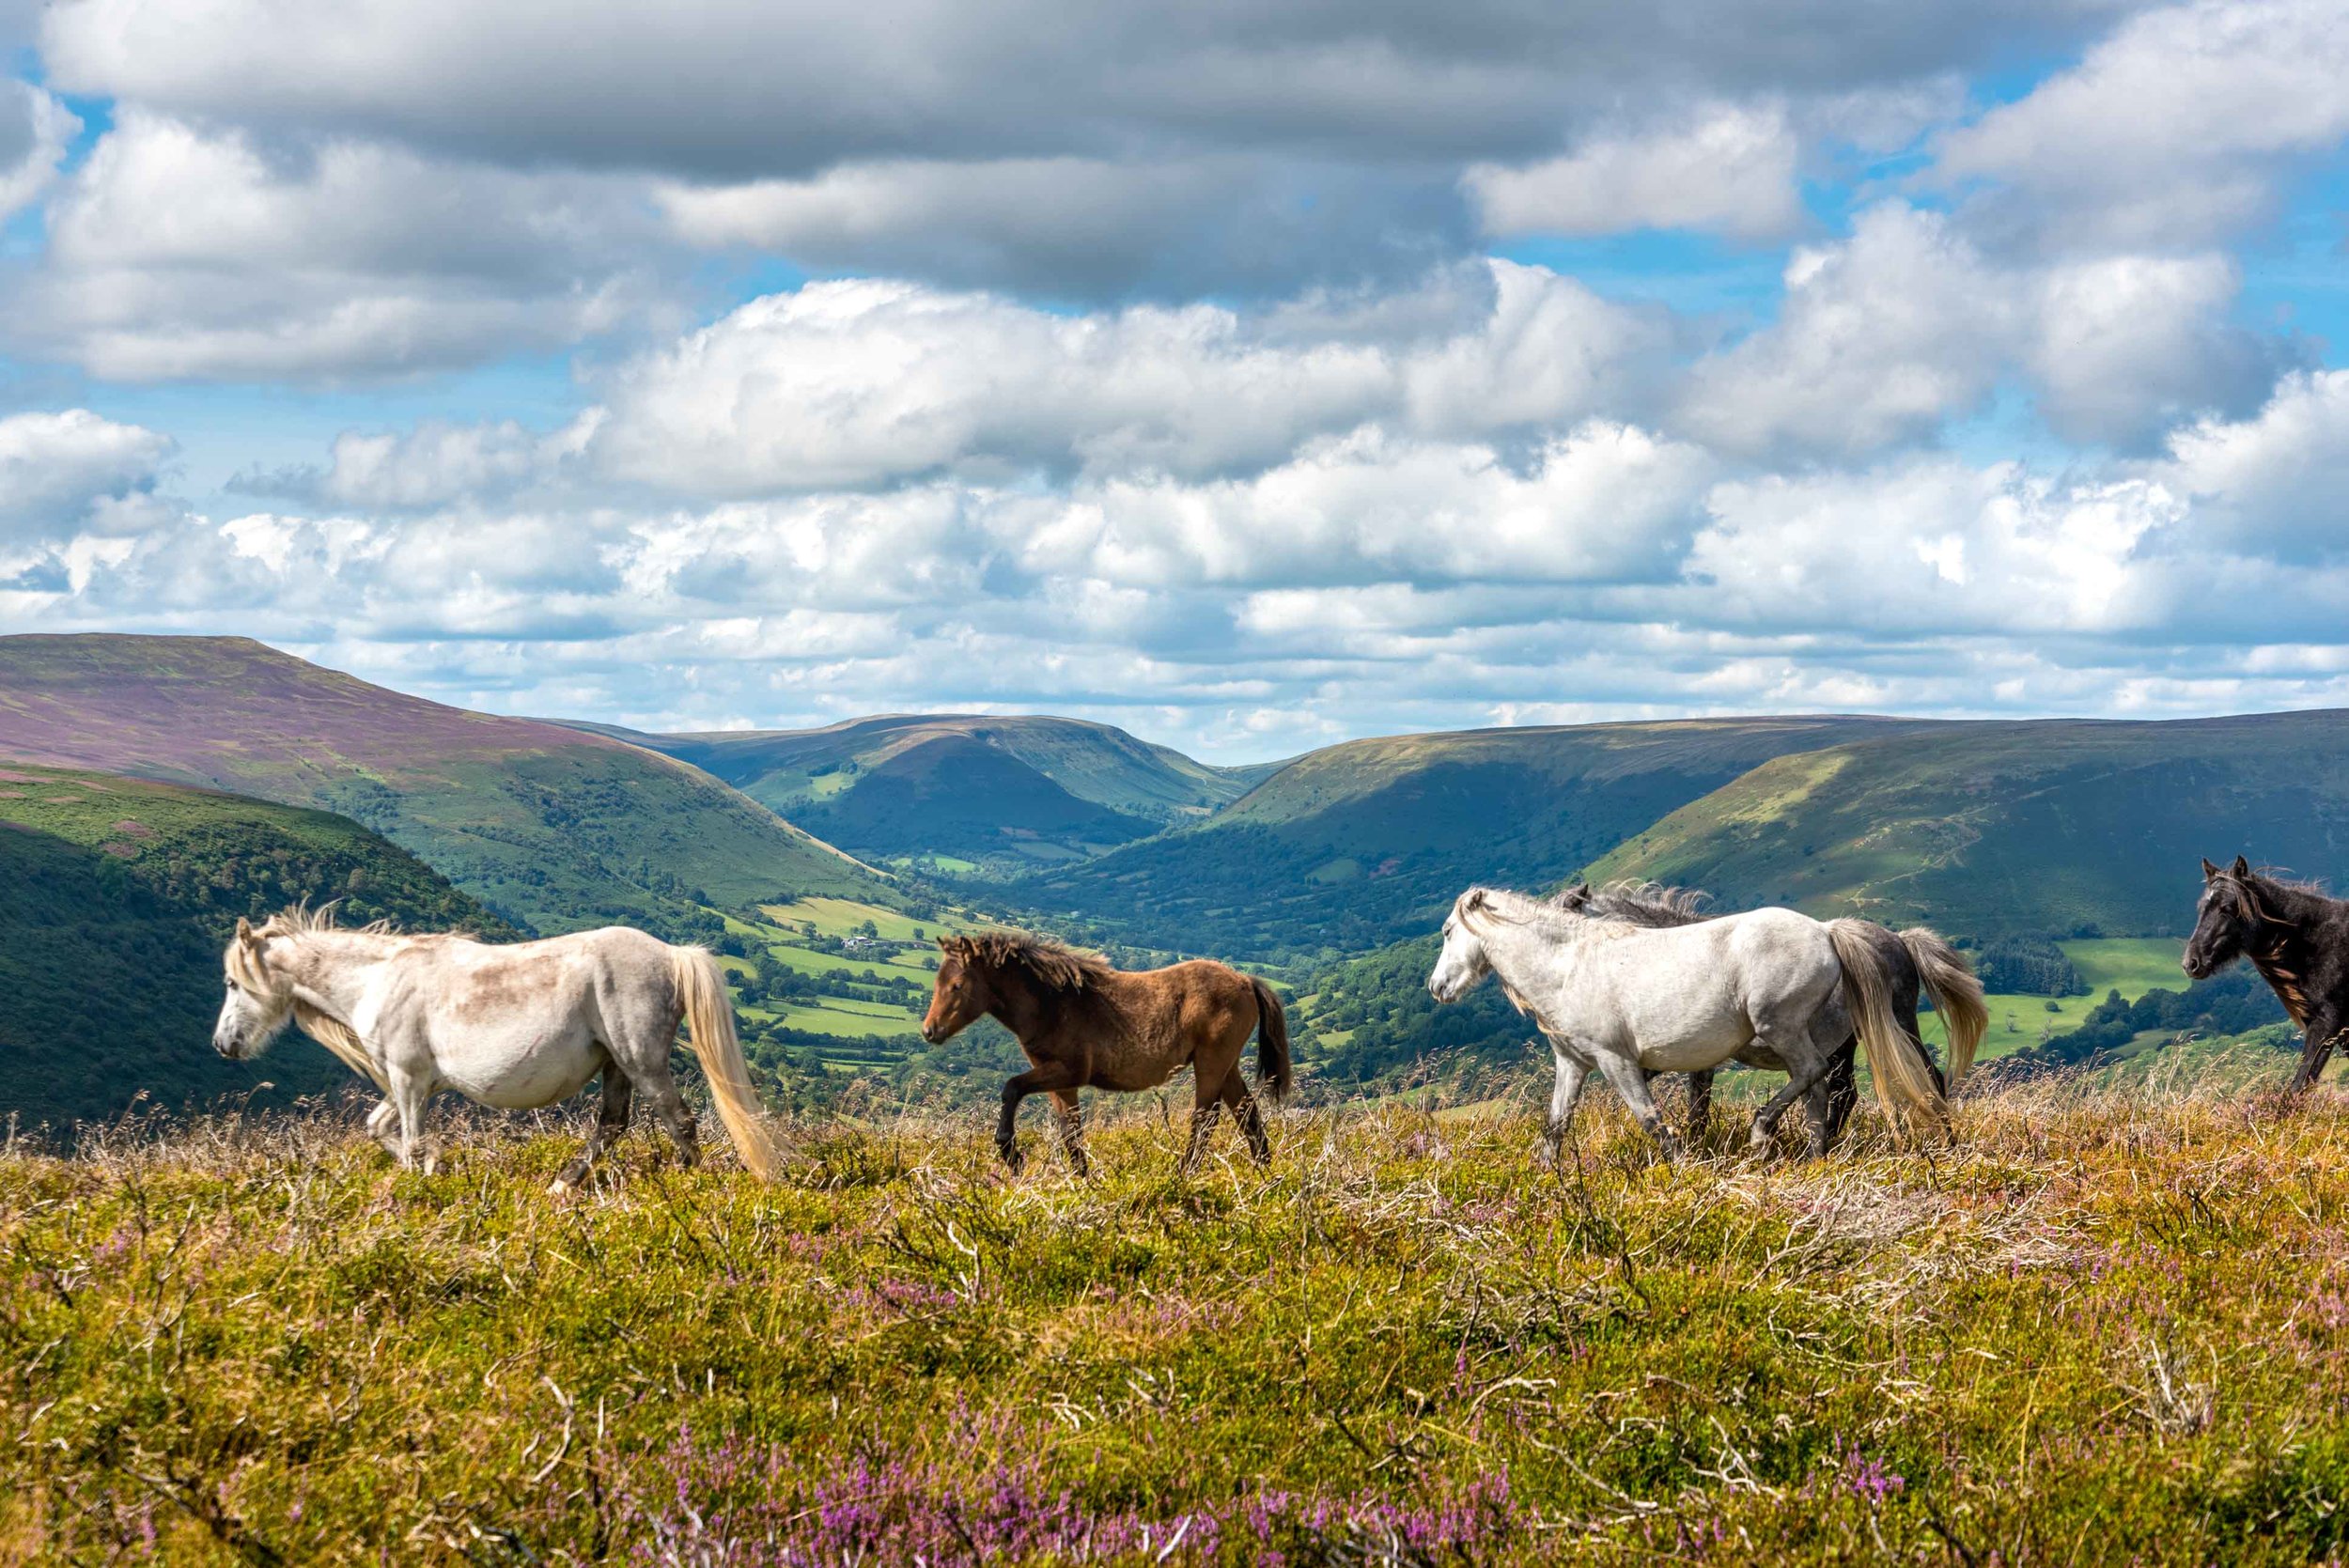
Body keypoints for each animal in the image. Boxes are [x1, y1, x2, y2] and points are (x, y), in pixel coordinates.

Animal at [214, 906, 780, 1188]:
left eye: (232, 983)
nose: (223, 1044)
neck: (379, 979)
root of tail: (670, 954)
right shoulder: (410, 1083)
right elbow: (379, 1129)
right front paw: (434, 1167)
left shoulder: (408, 1079)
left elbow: (410, 1140)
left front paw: (422, 1181)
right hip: (616, 1065)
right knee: (613, 1125)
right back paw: (564, 1184)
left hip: (641, 1061)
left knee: (678, 1119)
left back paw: (687, 1186)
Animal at [916, 929, 1297, 1173]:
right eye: (936, 982)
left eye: (957, 985)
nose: (929, 1031)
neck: (1052, 1003)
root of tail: (1247, 981)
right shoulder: (1060, 1083)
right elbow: (1070, 1132)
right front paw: (1081, 1179)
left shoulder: (1068, 1071)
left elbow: (1011, 1088)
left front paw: (1010, 1151)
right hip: (1226, 1066)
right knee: (1247, 1115)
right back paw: (1264, 1173)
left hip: (1211, 1064)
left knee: (1206, 1120)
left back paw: (1184, 1174)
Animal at [1428, 887, 1945, 1159]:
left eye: (1448, 932)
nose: (1438, 987)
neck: (1569, 967)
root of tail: (1828, 932)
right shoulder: (1573, 1064)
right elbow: (1557, 1124)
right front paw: (1546, 1174)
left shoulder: (1619, 1061)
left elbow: (1651, 1117)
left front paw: (1684, 1162)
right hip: (1817, 1040)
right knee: (1824, 1091)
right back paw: (1814, 1156)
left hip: (1785, 1028)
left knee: (1822, 1077)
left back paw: (1763, 1133)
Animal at [2180, 859, 2349, 1089]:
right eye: (2201, 908)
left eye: (2228, 908)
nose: (2191, 963)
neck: (2318, 943)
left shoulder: (2326, 1023)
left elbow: (2299, 1084)